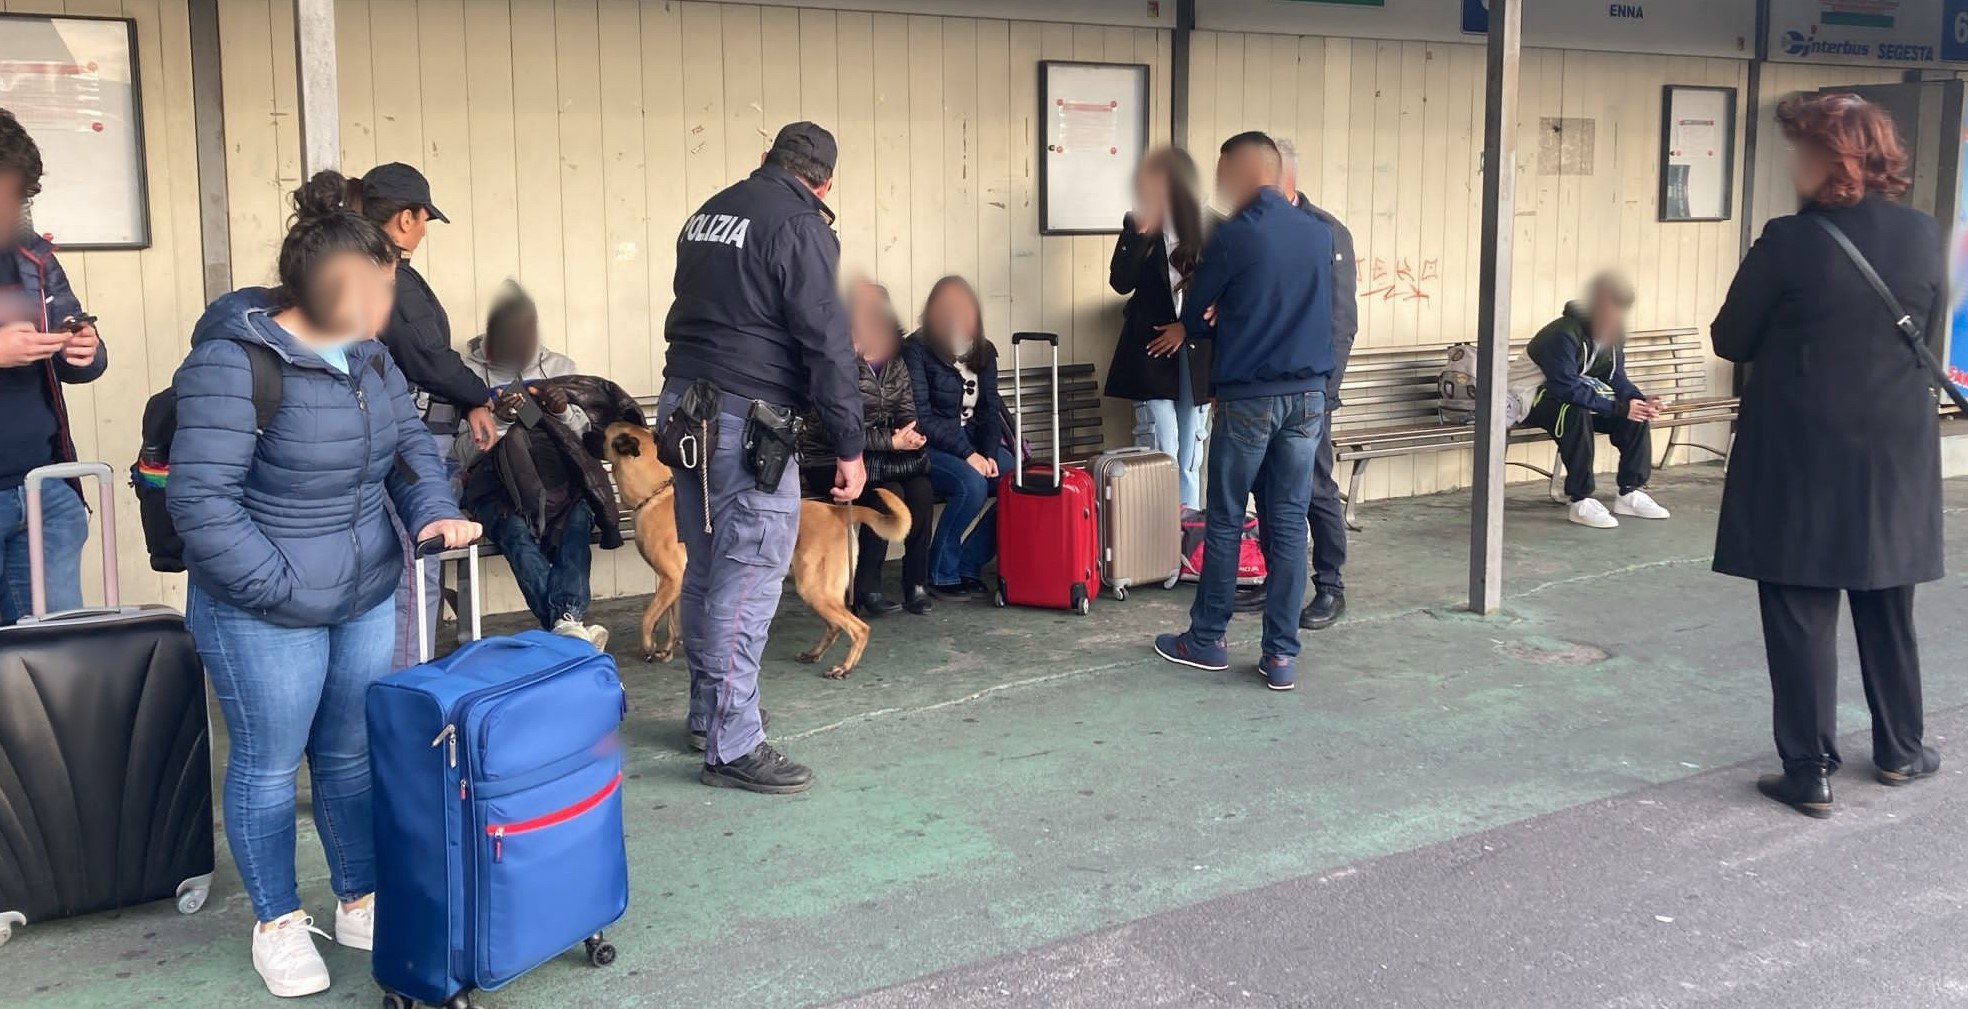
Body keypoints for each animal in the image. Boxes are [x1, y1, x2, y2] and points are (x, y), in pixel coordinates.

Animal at [602, 420, 909, 680]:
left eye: (600, 432)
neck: (655, 492)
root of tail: (836, 511)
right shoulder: (677, 584)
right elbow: (673, 623)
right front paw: (666, 650)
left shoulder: (670, 581)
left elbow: (648, 618)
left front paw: (647, 647)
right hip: (817, 590)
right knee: (835, 626)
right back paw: (814, 654)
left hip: (815, 588)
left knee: (858, 629)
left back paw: (844, 667)